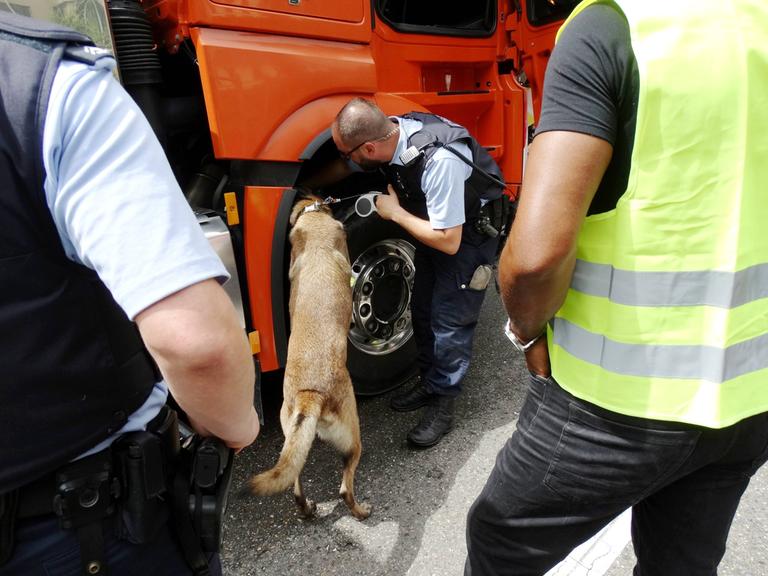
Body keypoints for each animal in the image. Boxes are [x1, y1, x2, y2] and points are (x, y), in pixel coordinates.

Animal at [248, 196, 370, 520]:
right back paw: (361, 511)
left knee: (294, 481)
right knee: (345, 488)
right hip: (353, 437)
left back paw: (306, 509)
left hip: (292, 440)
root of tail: (310, 395)